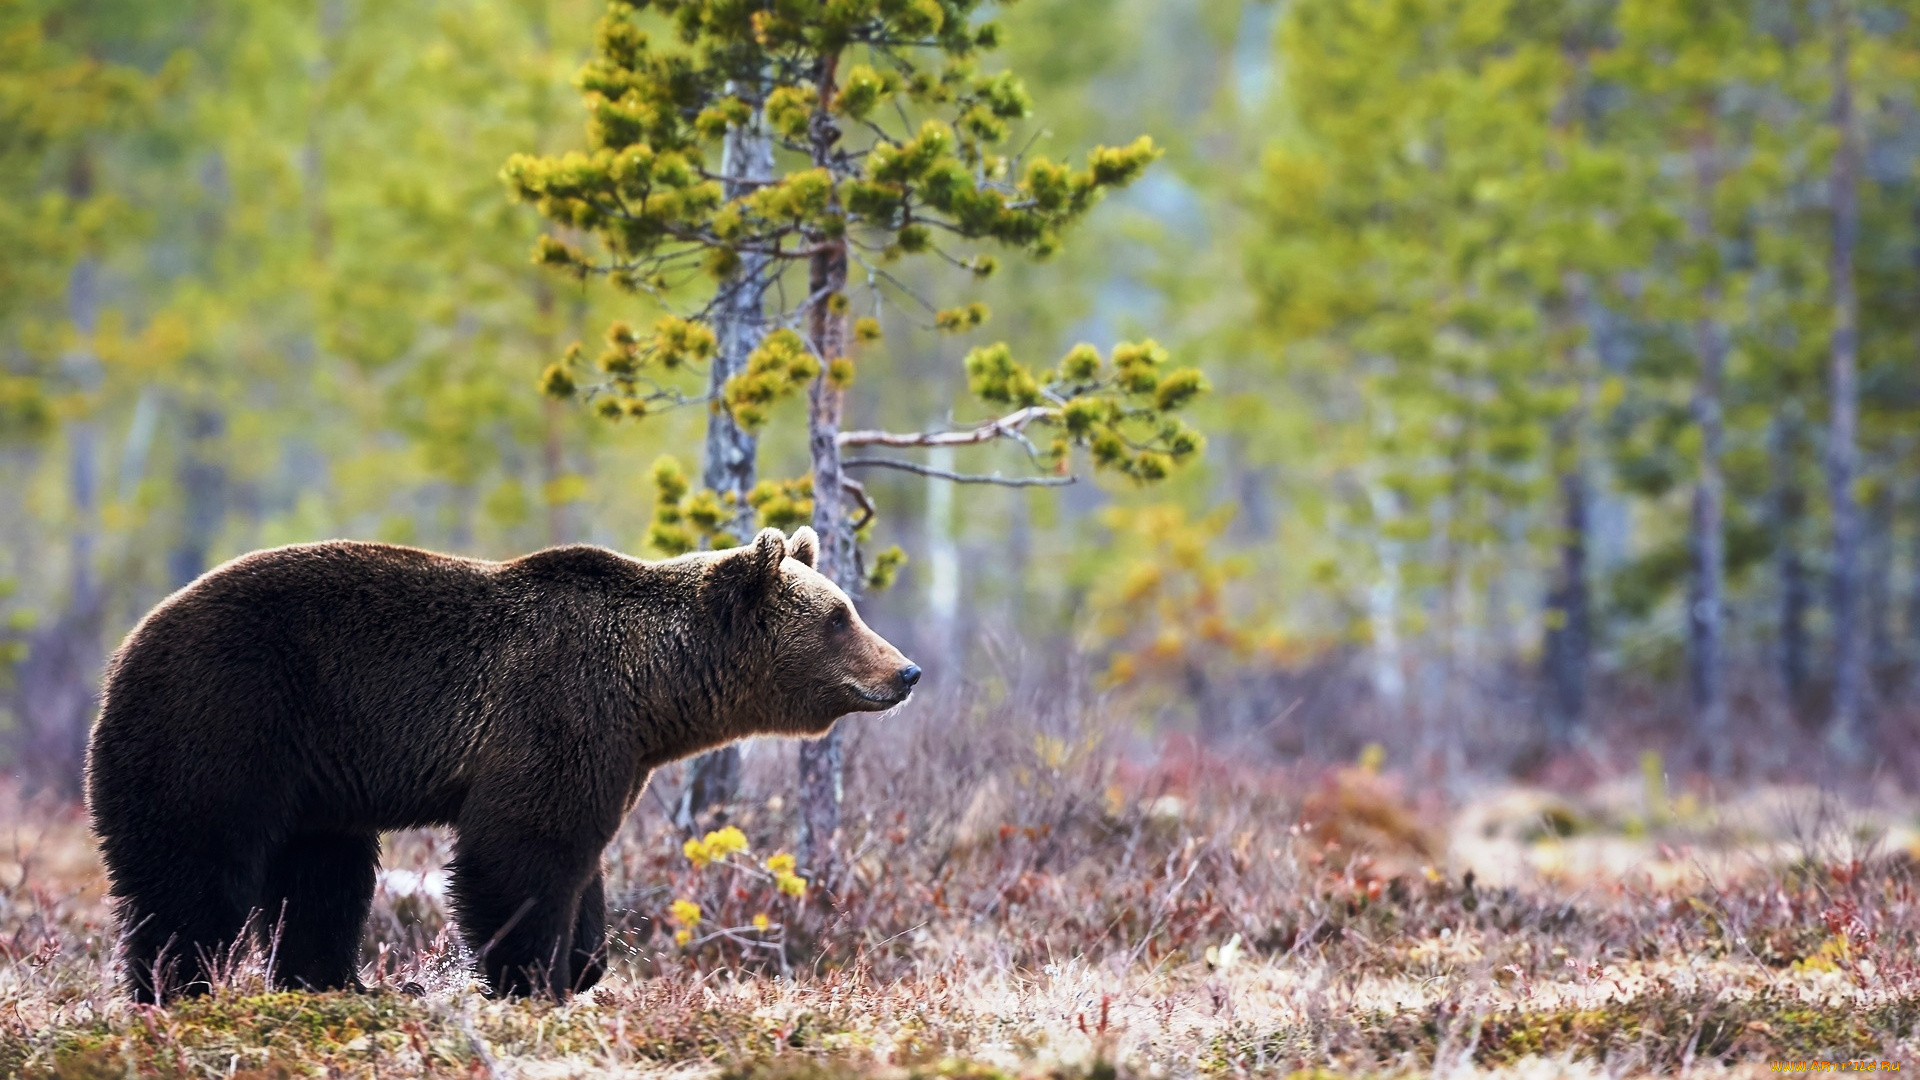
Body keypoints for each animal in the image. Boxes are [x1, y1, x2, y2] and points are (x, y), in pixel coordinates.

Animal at [76, 526, 913, 999]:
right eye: (840, 616)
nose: (906, 671)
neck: (653, 693)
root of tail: (124, 648)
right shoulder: (556, 711)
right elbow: (522, 851)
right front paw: (530, 977)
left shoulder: (614, 751)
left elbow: (580, 859)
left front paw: (583, 963)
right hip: (226, 719)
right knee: (193, 867)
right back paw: (177, 987)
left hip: (315, 780)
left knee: (323, 878)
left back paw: (339, 984)